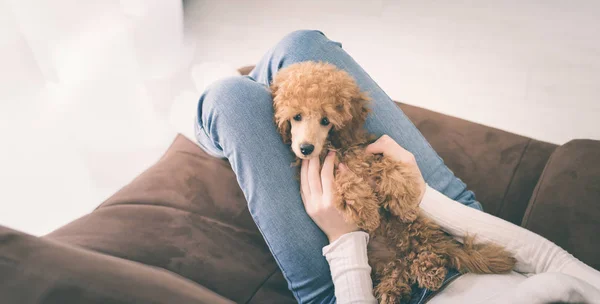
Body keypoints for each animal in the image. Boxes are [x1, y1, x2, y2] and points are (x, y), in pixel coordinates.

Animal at [272, 61, 516, 304]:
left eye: (325, 120)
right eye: (296, 117)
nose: (306, 149)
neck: (336, 146)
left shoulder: (375, 151)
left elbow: (391, 167)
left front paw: (403, 205)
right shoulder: (330, 170)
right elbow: (347, 182)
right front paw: (369, 214)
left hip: (415, 229)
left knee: (426, 252)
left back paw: (429, 271)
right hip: (385, 261)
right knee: (401, 269)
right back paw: (393, 290)